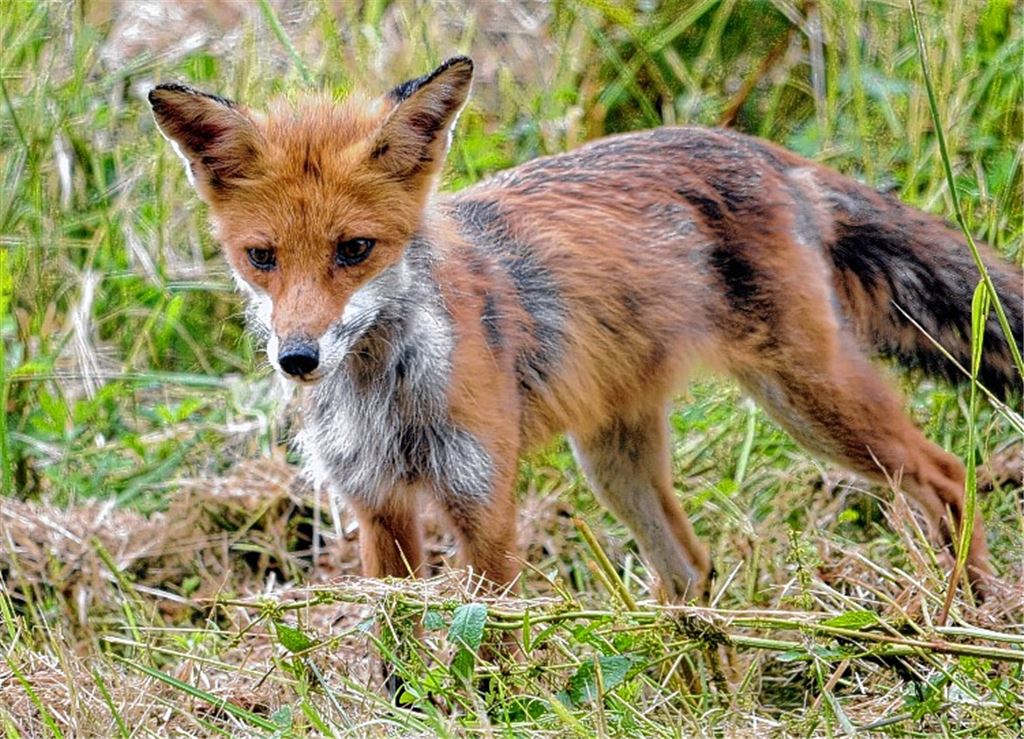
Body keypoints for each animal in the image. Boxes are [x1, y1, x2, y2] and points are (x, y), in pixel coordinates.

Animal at [149, 56, 1022, 604]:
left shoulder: (482, 500)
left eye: (354, 251)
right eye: (261, 257)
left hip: (812, 401)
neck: (381, 393)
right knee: (691, 568)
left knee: (946, 473)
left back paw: (965, 612)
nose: (298, 358)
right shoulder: (378, 506)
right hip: (614, 460)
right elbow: (396, 630)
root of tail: (766, 150)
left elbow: (488, 632)